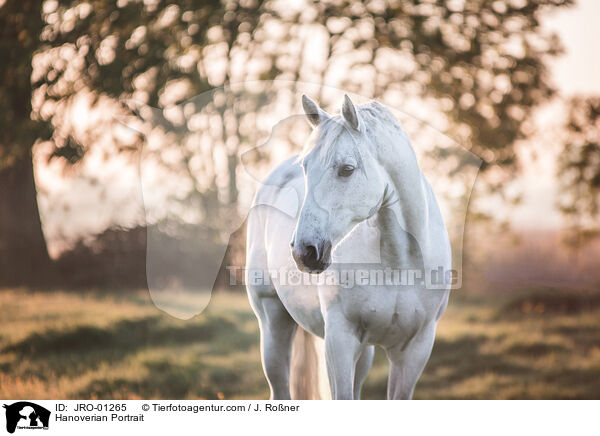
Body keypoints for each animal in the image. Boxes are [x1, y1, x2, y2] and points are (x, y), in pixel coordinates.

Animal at [245, 94, 450, 398]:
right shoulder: (340, 341)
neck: (398, 265)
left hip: (363, 353)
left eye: (347, 169)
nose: (304, 252)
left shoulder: (415, 349)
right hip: (273, 324)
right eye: (305, 168)